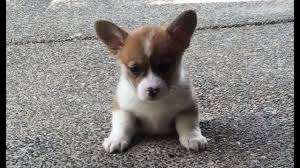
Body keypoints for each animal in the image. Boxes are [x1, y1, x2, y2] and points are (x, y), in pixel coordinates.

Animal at [95, 9, 207, 153]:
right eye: (134, 69)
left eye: (165, 66)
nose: (152, 90)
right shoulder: (121, 108)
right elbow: (122, 124)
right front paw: (116, 139)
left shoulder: (187, 107)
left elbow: (188, 124)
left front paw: (193, 137)